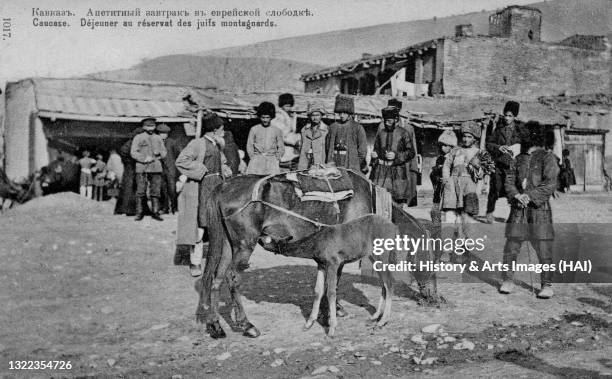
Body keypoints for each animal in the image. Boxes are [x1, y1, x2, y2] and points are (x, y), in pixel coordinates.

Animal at [198, 169, 438, 338]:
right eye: (432, 260)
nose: (435, 298)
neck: (368, 198)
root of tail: (223, 186)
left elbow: (325, 285)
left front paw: (325, 313)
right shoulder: (339, 252)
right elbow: (334, 283)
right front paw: (332, 312)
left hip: (228, 244)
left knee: (216, 278)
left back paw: (215, 325)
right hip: (244, 244)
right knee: (232, 278)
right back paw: (247, 325)